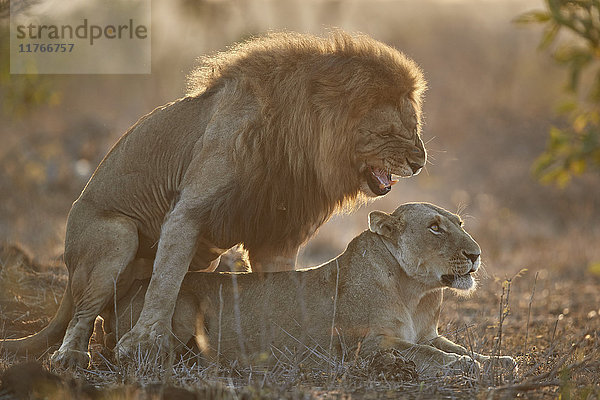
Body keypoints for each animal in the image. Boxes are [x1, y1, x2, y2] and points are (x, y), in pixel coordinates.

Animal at [0, 31, 426, 368]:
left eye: (415, 126)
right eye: (393, 131)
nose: (419, 161)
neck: (297, 139)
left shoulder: (277, 234)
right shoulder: (187, 212)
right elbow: (166, 280)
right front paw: (144, 345)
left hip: (206, 257)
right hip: (116, 235)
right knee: (83, 312)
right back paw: (72, 356)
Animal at [102, 203, 516, 376]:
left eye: (459, 223)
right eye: (434, 227)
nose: (476, 254)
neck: (415, 292)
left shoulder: (429, 333)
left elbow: (458, 347)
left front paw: (499, 360)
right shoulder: (367, 347)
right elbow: (428, 355)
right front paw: (464, 366)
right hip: (182, 304)